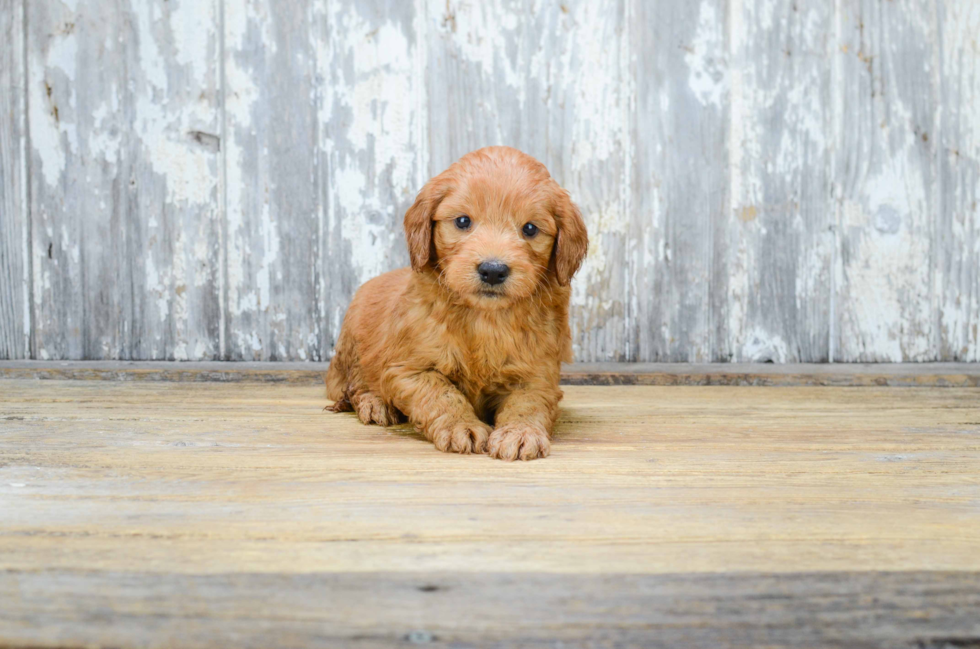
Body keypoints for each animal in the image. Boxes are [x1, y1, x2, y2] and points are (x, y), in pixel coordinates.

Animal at [330, 147, 588, 460]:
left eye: (529, 228)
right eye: (463, 221)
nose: (493, 270)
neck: (484, 318)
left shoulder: (539, 374)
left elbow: (528, 403)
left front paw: (520, 433)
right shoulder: (409, 369)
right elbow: (441, 393)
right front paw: (460, 426)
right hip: (352, 345)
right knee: (354, 384)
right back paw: (376, 403)